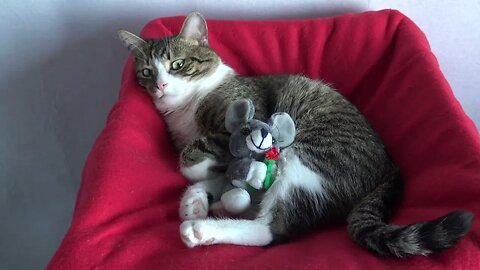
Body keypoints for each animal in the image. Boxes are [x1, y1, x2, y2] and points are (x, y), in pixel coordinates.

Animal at [117, 12, 472, 258]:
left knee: (270, 230)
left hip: (308, 156)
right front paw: (202, 190)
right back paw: (203, 204)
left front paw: (200, 172)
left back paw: (202, 227)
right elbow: (216, 170)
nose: (161, 86)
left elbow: (191, 159)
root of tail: (390, 167)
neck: (186, 112)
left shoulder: (248, 122)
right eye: (146, 72)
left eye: (177, 64)